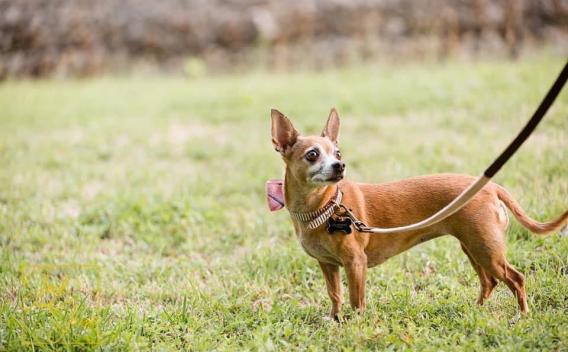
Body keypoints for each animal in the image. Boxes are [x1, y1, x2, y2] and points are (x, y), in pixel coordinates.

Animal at [270, 108, 568, 318]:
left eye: (338, 153)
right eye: (312, 154)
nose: (340, 166)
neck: (325, 205)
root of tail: (491, 186)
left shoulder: (356, 264)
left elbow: (356, 300)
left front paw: (355, 324)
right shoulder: (328, 265)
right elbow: (335, 295)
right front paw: (335, 320)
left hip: (487, 250)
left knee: (515, 278)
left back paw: (522, 316)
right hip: (474, 247)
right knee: (489, 281)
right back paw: (478, 310)